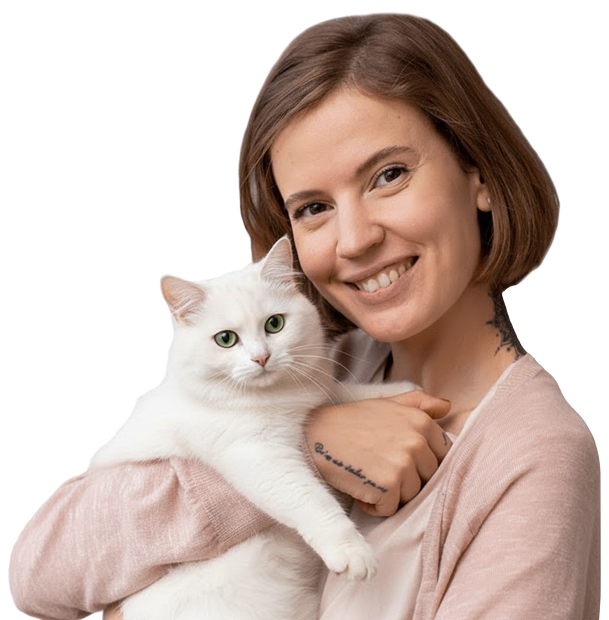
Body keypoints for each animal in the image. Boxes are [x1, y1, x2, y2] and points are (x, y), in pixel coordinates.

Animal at [89, 236, 417, 620]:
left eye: (274, 324)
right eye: (226, 339)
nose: (261, 358)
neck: (276, 397)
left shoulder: (314, 396)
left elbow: (343, 394)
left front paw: (403, 391)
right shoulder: (259, 456)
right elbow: (311, 501)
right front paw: (352, 552)